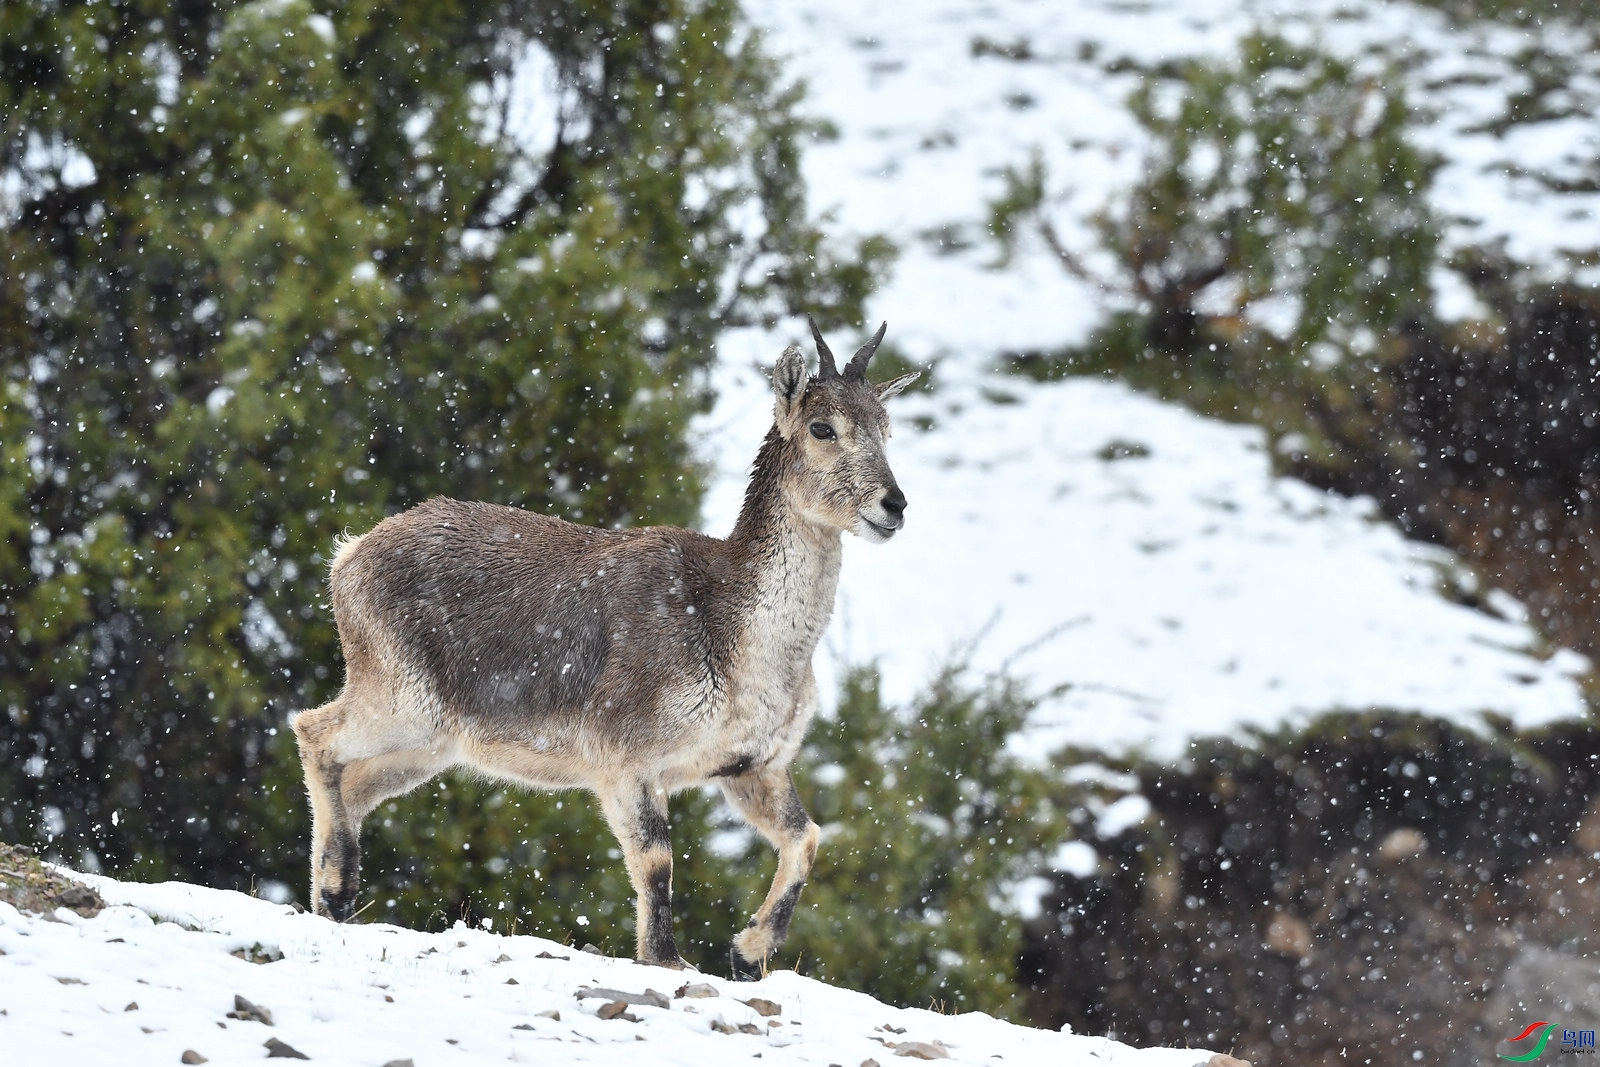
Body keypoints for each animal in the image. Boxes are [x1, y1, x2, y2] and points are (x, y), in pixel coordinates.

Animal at [286, 319, 915, 979]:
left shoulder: (751, 767)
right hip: (399, 696)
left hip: (430, 746)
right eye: (823, 427)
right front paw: (667, 959)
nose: (893, 505)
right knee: (316, 732)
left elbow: (806, 836)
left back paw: (335, 896)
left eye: (886, 427)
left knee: (355, 783)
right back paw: (335, 889)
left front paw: (747, 950)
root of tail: (347, 557)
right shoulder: (623, 759)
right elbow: (657, 859)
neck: (737, 635)